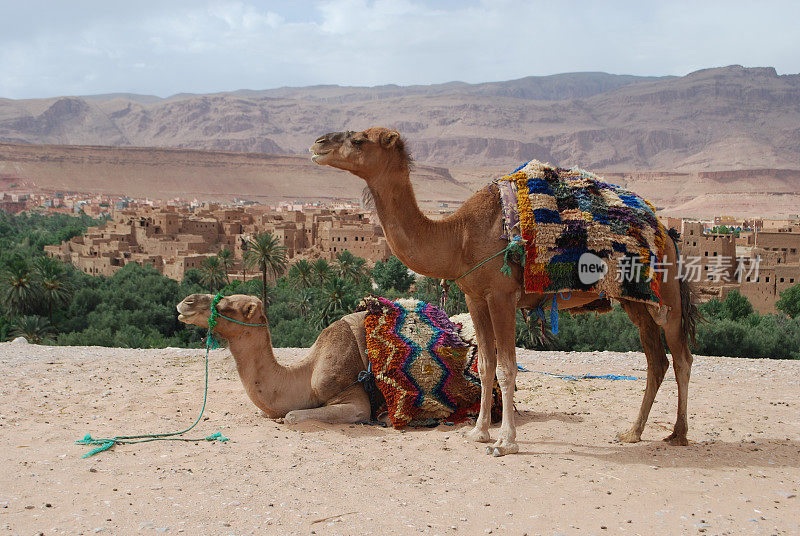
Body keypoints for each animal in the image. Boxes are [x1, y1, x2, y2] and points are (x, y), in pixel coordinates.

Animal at [312, 126, 700, 456]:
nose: (318, 144)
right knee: (656, 359)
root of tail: (667, 231)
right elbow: (485, 365)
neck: (459, 236)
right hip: (635, 299)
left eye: (359, 140)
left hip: (666, 289)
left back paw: (678, 433)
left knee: (681, 355)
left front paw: (506, 442)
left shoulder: (502, 296)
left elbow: (508, 368)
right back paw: (632, 432)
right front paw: (479, 431)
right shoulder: (475, 296)